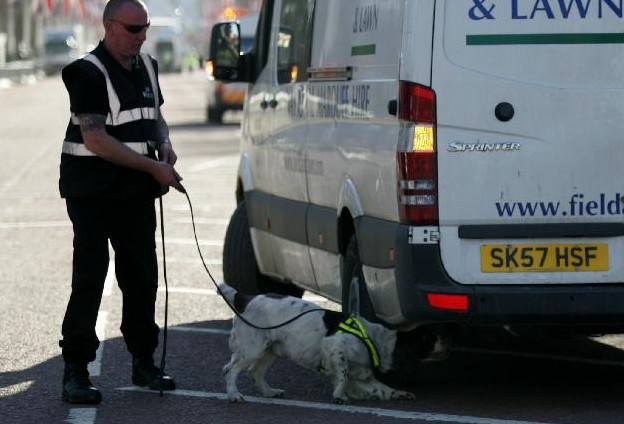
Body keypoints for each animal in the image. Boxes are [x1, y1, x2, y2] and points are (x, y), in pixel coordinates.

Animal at [219, 284, 448, 402]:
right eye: (428, 338)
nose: (448, 340)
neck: (375, 339)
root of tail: (246, 298)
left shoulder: (363, 375)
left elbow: (382, 388)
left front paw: (400, 394)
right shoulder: (334, 348)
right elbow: (343, 377)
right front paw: (339, 395)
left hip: (271, 351)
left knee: (254, 372)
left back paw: (270, 392)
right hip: (253, 348)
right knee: (231, 370)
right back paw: (233, 394)